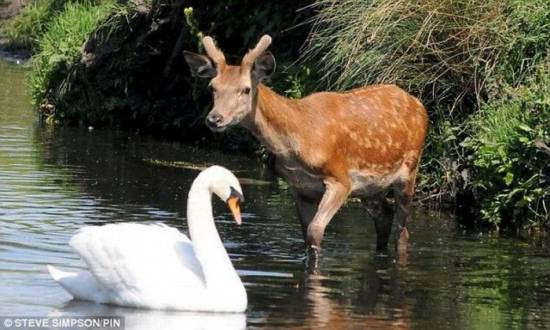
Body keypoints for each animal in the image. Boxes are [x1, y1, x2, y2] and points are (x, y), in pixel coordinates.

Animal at [185, 34, 432, 260]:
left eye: (245, 89)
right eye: (213, 87)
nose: (214, 119)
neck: (298, 140)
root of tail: (420, 104)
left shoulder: (340, 179)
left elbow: (315, 232)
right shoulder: (301, 188)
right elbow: (306, 235)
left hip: (410, 169)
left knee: (403, 231)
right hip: (370, 186)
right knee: (384, 217)